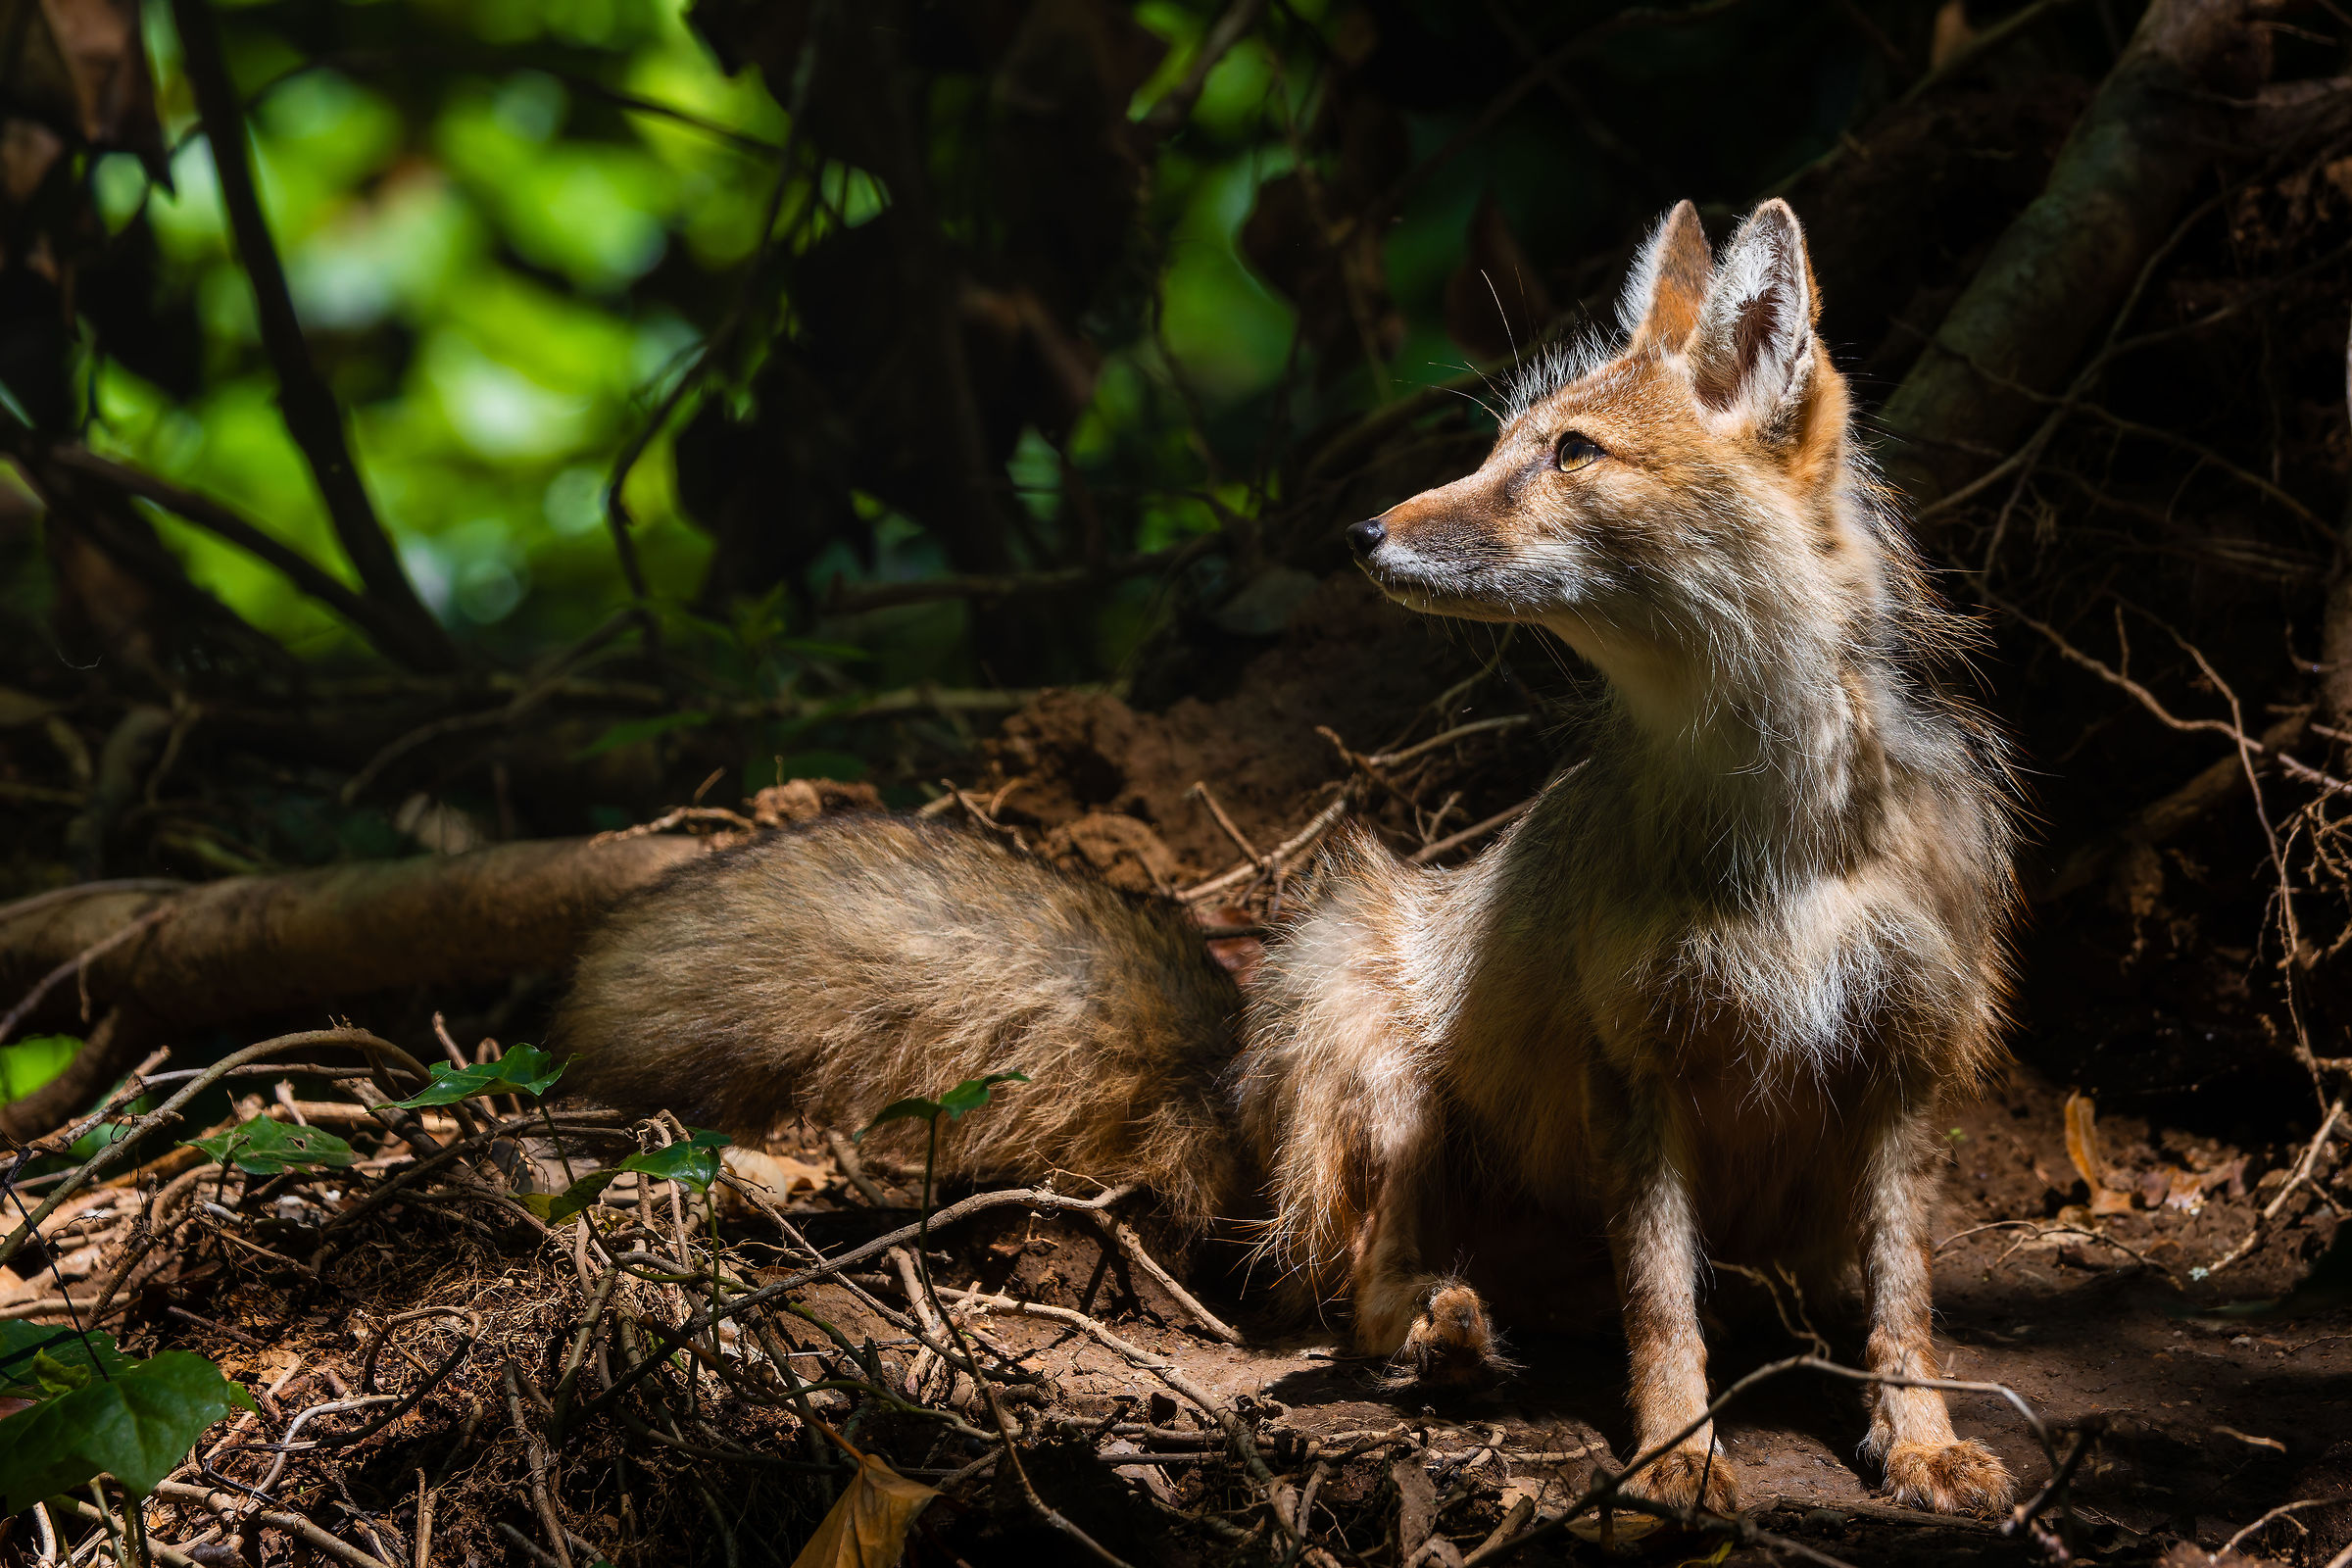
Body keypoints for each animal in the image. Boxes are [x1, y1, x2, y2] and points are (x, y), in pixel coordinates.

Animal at [552, 197, 2020, 1517]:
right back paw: (1440, 1337)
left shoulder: (1896, 1066)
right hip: (1374, 1038)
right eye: (1502, 444)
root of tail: (1233, 1060)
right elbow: (1665, 1308)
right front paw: (1675, 1453)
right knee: (1361, 1293)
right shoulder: (1634, 1064)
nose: (1362, 532)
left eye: (1572, 453)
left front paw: (1923, 1442)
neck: (1780, 843)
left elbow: (1905, 1303)